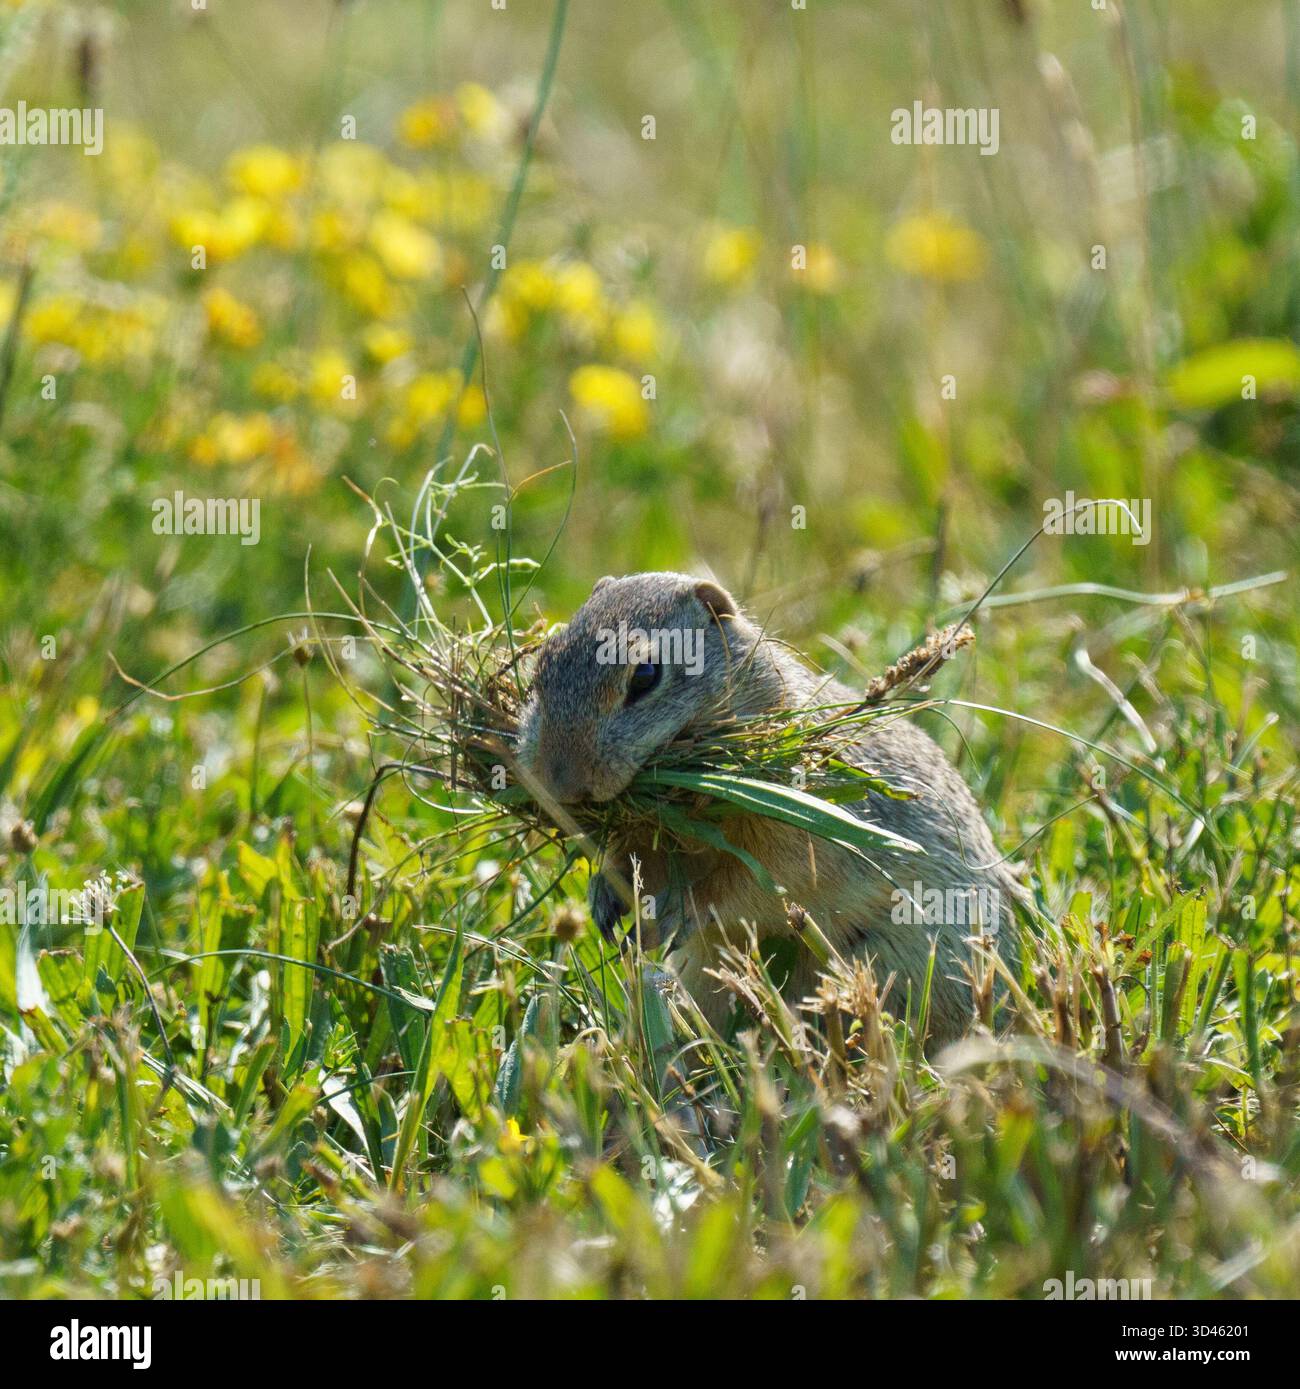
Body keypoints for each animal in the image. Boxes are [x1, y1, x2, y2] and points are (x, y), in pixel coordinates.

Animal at [515, 571, 1024, 1044]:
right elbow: (639, 860)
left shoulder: (799, 839)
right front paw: (605, 894)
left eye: (645, 675)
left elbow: (750, 886)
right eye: (544, 663)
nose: (560, 782)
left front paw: (672, 915)